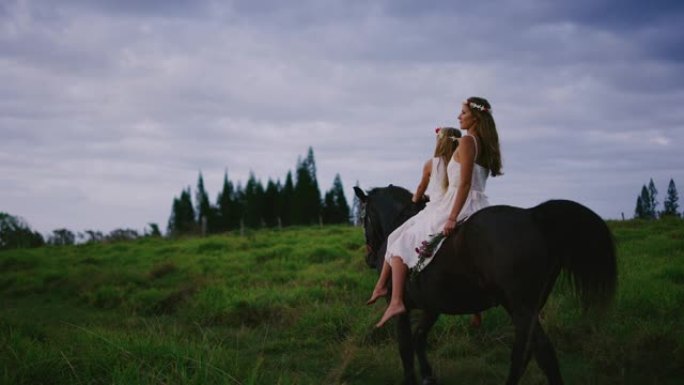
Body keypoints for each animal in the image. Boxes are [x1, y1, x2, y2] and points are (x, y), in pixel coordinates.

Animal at [356, 184, 616, 384]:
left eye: (363, 218)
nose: (369, 258)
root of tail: (533, 216)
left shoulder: (399, 305)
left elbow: (405, 347)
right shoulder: (433, 306)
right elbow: (419, 337)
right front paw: (428, 376)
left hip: (520, 307)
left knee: (541, 353)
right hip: (527, 308)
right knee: (525, 351)